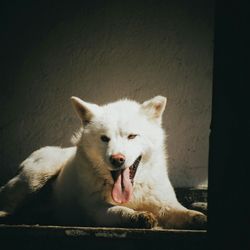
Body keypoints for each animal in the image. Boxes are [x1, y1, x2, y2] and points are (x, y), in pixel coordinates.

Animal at [0, 95, 207, 229]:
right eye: (104, 138)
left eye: (132, 136)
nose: (117, 159)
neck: (134, 191)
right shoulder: (94, 208)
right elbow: (118, 209)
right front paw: (136, 216)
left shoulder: (164, 203)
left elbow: (180, 211)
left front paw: (197, 217)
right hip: (37, 174)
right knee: (7, 198)